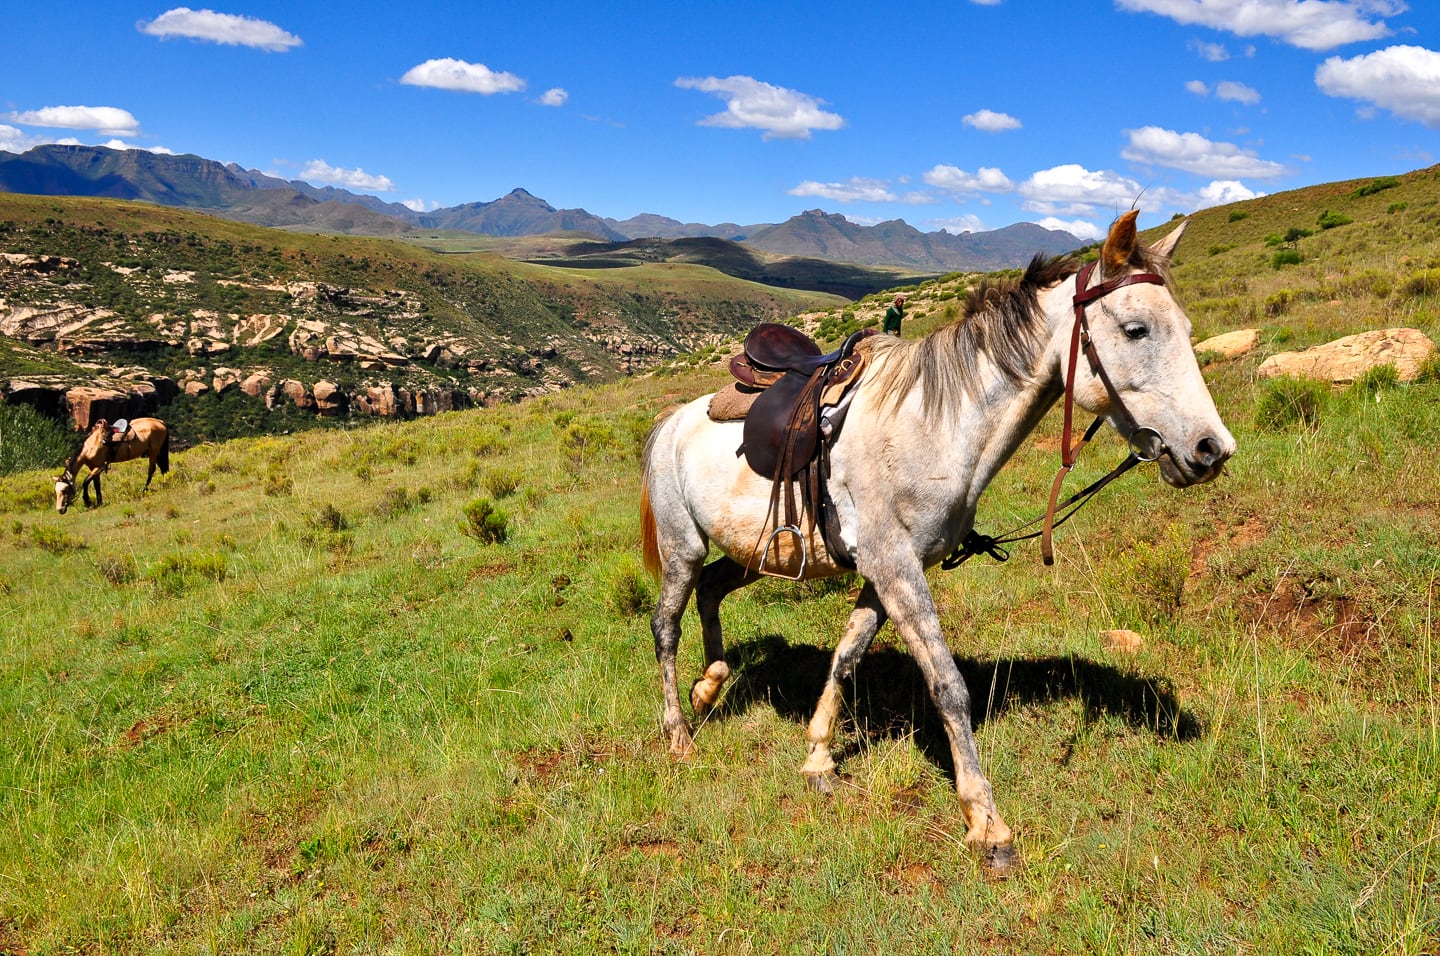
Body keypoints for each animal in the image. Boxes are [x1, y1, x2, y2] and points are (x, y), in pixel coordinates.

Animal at [642, 213, 1238, 875]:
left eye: (1187, 329)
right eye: (1136, 330)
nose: (1212, 449)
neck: (936, 425)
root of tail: (672, 419)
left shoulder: (888, 570)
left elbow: (846, 656)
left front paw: (819, 757)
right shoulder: (896, 569)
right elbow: (949, 686)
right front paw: (986, 822)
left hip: (758, 551)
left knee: (713, 590)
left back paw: (709, 686)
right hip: (683, 547)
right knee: (666, 625)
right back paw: (678, 735)